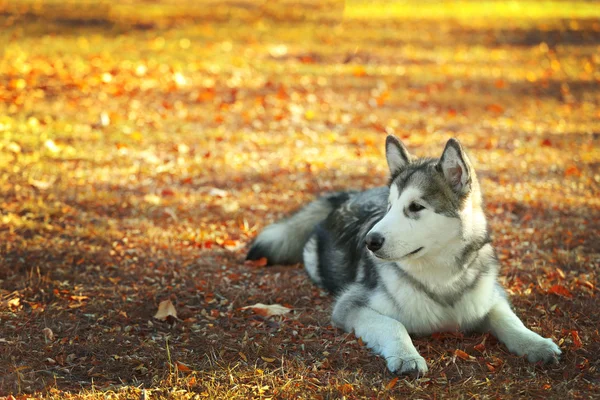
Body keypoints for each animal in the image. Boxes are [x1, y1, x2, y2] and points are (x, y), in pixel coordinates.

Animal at [245, 137, 564, 376]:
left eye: (415, 207)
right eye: (390, 207)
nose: (370, 241)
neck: (440, 280)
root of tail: (351, 194)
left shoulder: (491, 296)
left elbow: (509, 320)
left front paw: (536, 344)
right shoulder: (349, 306)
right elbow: (393, 324)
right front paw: (406, 356)